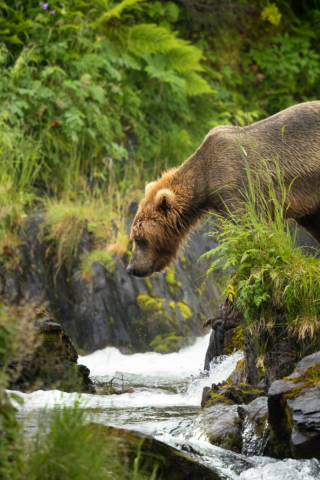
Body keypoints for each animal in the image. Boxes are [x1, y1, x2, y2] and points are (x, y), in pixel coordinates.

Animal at [126, 101, 320, 278]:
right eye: (134, 236)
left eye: (140, 238)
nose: (131, 268)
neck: (205, 181)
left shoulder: (237, 184)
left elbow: (250, 226)